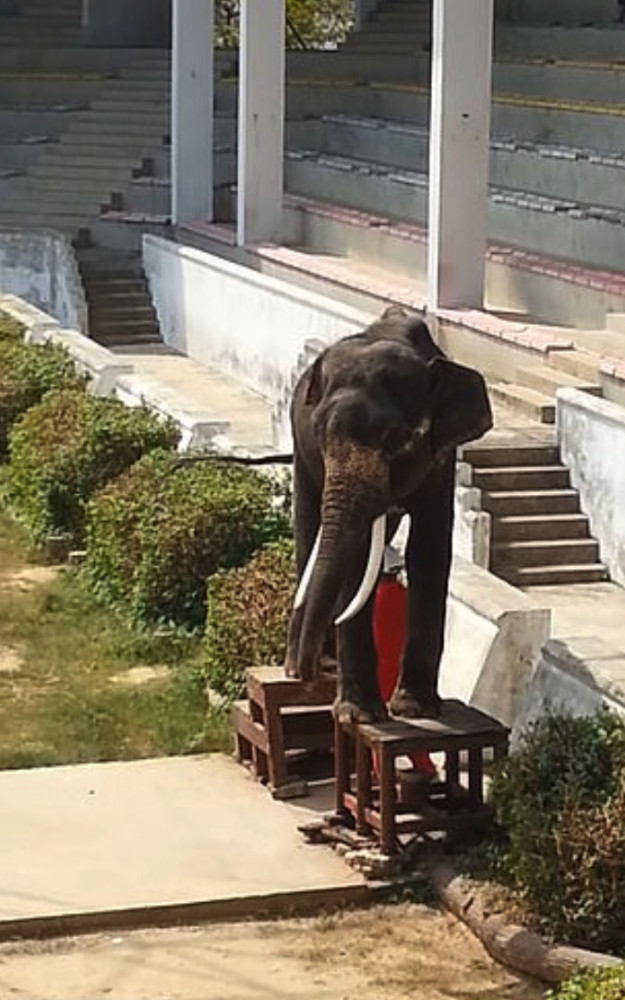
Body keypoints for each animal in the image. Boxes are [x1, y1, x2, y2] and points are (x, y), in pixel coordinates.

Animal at [282, 306, 492, 728]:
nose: (310, 681)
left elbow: (428, 550)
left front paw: (415, 710)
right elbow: (358, 557)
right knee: (309, 530)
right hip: (300, 456)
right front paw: (359, 717)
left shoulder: (441, 458)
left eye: (396, 439)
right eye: (319, 432)